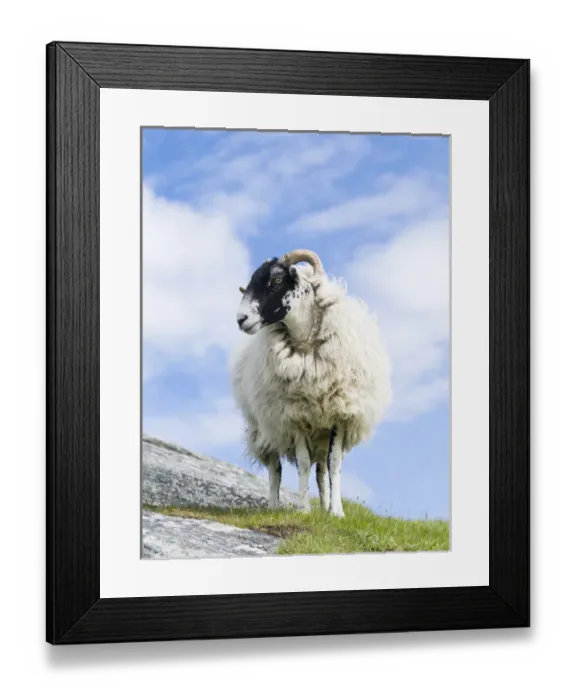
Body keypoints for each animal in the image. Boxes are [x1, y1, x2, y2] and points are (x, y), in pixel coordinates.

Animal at [230, 249, 392, 518]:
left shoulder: (340, 415)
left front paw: (336, 511)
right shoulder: (294, 416)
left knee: (321, 471)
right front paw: (303, 509)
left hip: (320, 434)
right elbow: (303, 464)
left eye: (276, 280)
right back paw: (273, 506)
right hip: (266, 426)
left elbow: (333, 466)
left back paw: (325, 507)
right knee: (275, 468)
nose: (241, 319)